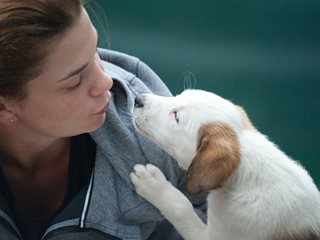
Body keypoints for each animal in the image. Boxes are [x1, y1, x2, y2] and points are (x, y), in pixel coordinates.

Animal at [130, 89, 320, 240]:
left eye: (176, 116)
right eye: (179, 95)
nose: (137, 99)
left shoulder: (211, 236)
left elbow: (181, 207)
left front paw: (154, 185)